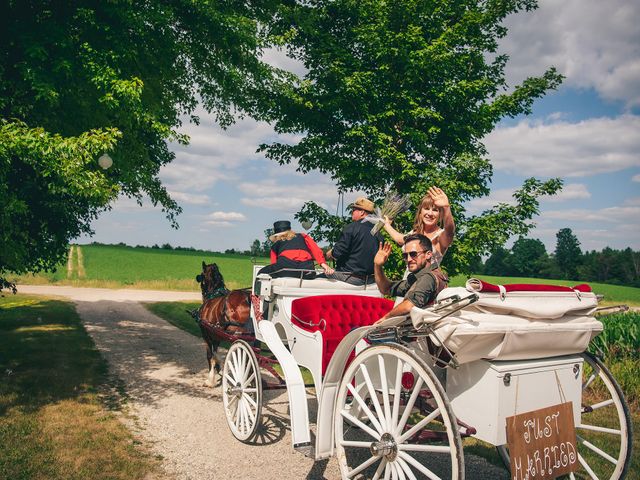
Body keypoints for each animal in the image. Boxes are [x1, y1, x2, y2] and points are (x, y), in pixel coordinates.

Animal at [195, 260, 252, 388]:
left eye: (202, 275)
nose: (202, 290)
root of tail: (247, 298)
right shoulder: (216, 335)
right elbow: (215, 353)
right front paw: (218, 367)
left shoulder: (206, 335)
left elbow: (210, 356)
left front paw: (210, 379)